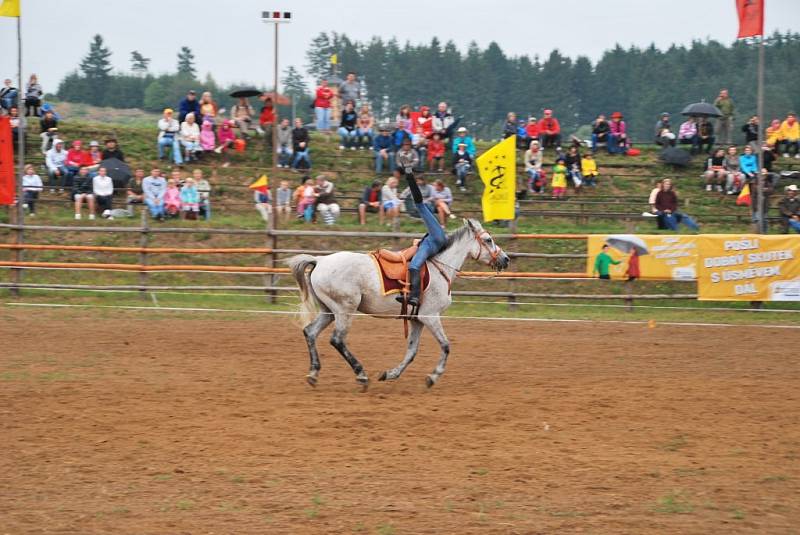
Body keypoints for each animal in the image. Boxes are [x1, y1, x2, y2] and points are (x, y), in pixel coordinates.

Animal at [290, 218, 512, 390]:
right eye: (488, 240)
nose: (506, 259)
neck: (439, 267)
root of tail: (320, 261)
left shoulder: (416, 320)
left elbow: (411, 352)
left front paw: (390, 374)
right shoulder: (430, 316)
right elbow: (446, 346)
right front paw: (433, 377)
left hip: (329, 311)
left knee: (310, 332)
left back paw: (313, 373)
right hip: (345, 310)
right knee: (337, 340)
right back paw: (361, 375)